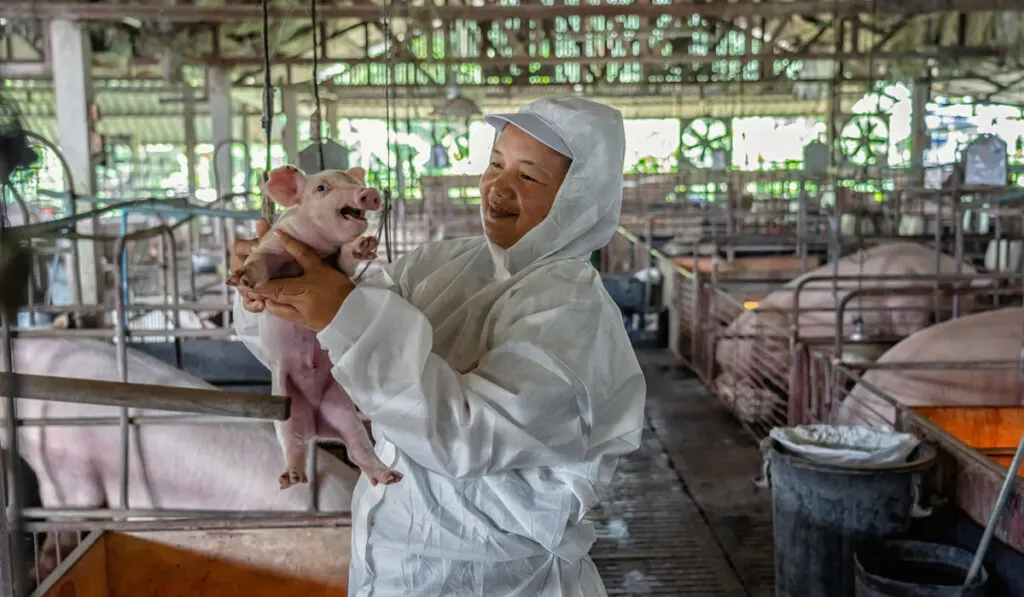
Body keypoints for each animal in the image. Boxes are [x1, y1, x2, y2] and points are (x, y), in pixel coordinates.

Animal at [226, 164, 401, 491]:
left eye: (353, 181)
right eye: (322, 188)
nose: (368, 191)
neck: (317, 250)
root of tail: (319, 427)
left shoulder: (339, 266)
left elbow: (348, 260)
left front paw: (365, 246)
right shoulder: (275, 245)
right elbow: (260, 262)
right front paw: (240, 279)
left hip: (342, 409)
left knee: (358, 448)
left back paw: (389, 477)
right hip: (287, 402)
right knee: (292, 441)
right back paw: (291, 479)